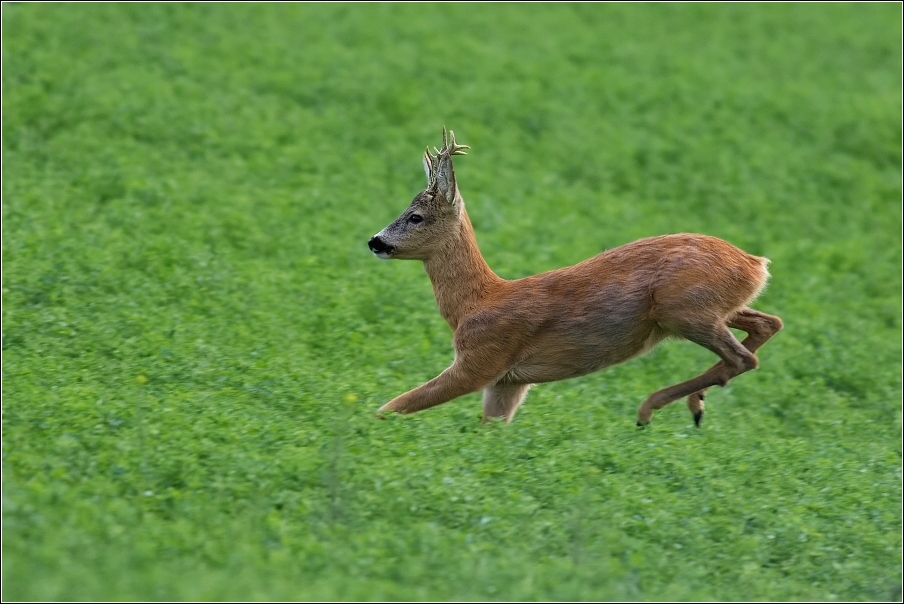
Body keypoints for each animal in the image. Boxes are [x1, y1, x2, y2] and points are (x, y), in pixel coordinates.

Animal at [368, 127, 784, 424]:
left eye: (415, 217)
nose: (375, 241)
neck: (473, 304)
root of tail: (755, 263)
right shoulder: (508, 382)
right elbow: (490, 426)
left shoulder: (482, 358)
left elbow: (395, 405)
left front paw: (364, 428)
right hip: (709, 308)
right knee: (767, 324)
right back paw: (694, 403)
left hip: (682, 307)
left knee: (744, 357)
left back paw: (650, 409)